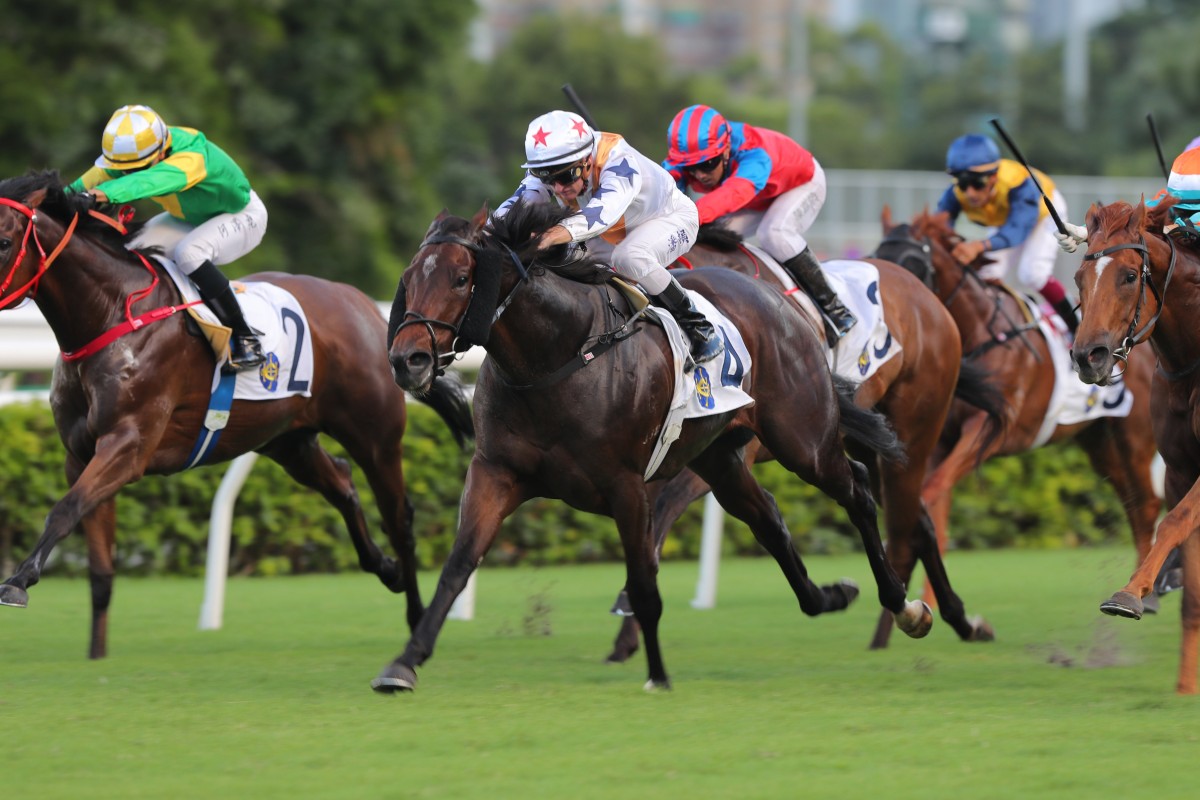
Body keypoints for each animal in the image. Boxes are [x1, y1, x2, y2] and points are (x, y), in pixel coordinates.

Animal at [0, 172, 475, 662]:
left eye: (3, 240)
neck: (113, 313)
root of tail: (369, 310)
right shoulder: (80, 455)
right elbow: (97, 563)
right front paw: (96, 653)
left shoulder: (128, 445)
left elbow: (64, 509)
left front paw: (17, 582)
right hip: (287, 441)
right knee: (343, 485)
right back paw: (385, 568)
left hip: (375, 437)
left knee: (400, 519)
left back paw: (417, 617)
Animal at [384, 201, 936, 695]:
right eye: (409, 277)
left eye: (461, 278)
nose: (408, 360)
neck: (557, 356)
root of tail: (783, 299)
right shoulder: (496, 472)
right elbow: (458, 565)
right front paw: (404, 663)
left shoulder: (628, 487)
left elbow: (644, 584)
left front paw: (657, 673)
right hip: (720, 457)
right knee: (768, 519)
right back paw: (828, 596)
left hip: (802, 439)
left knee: (857, 489)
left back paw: (906, 606)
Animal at [604, 220, 1008, 662]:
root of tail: (928, 300)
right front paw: (626, 633)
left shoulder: (718, 453)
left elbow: (661, 517)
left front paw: (628, 608)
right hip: (867, 441)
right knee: (918, 521)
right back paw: (957, 619)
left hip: (911, 433)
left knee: (906, 521)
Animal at [878, 209, 1166, 633]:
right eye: (876, 256)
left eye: (912, 264)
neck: (980, 334)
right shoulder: (941, 439)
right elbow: (938, 504)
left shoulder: (991, 429)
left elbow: (931, 493)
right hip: (1099, 443)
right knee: (1131, 502)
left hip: (1135, 436)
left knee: (1146, 504)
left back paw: (1146, 594)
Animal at [1070, 195, 1200, 695]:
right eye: (1079, 277)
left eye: (1129, 275)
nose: (1087, 356)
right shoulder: (1180, 467)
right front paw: (1186, 688)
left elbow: (1174, 522)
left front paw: (1129, 592)